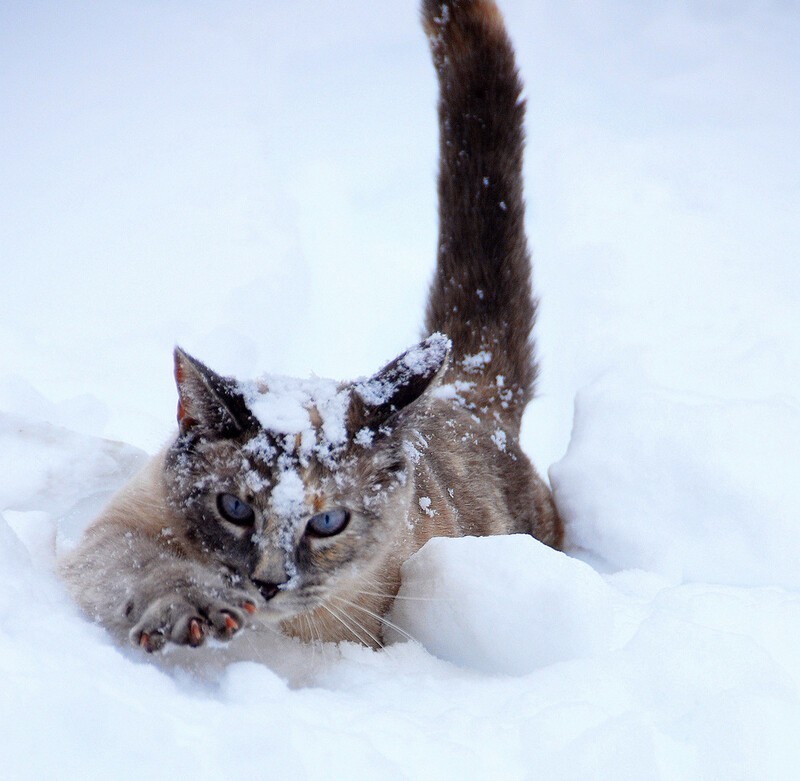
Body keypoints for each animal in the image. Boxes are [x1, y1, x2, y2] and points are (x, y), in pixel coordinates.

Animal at [59, 0, 564, 652]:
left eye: (327, 523)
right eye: (235, 509)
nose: (268, 582)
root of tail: (467, 393)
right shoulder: (109, 537)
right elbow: (150, 568)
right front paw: (194, 612)